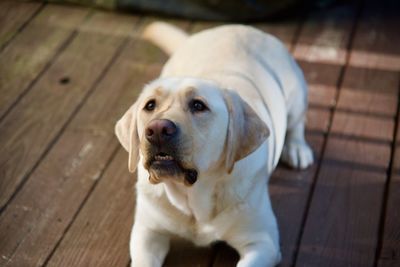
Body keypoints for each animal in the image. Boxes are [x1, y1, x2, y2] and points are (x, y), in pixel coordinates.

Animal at [114, 22, 314, 267]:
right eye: (150, 105)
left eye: (198, 105)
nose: (158, 129)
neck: (193, 198)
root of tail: (235, 27)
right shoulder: (147, 233)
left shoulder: (263, 242)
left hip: (296, 95)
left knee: (297, 123)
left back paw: (297, 148)